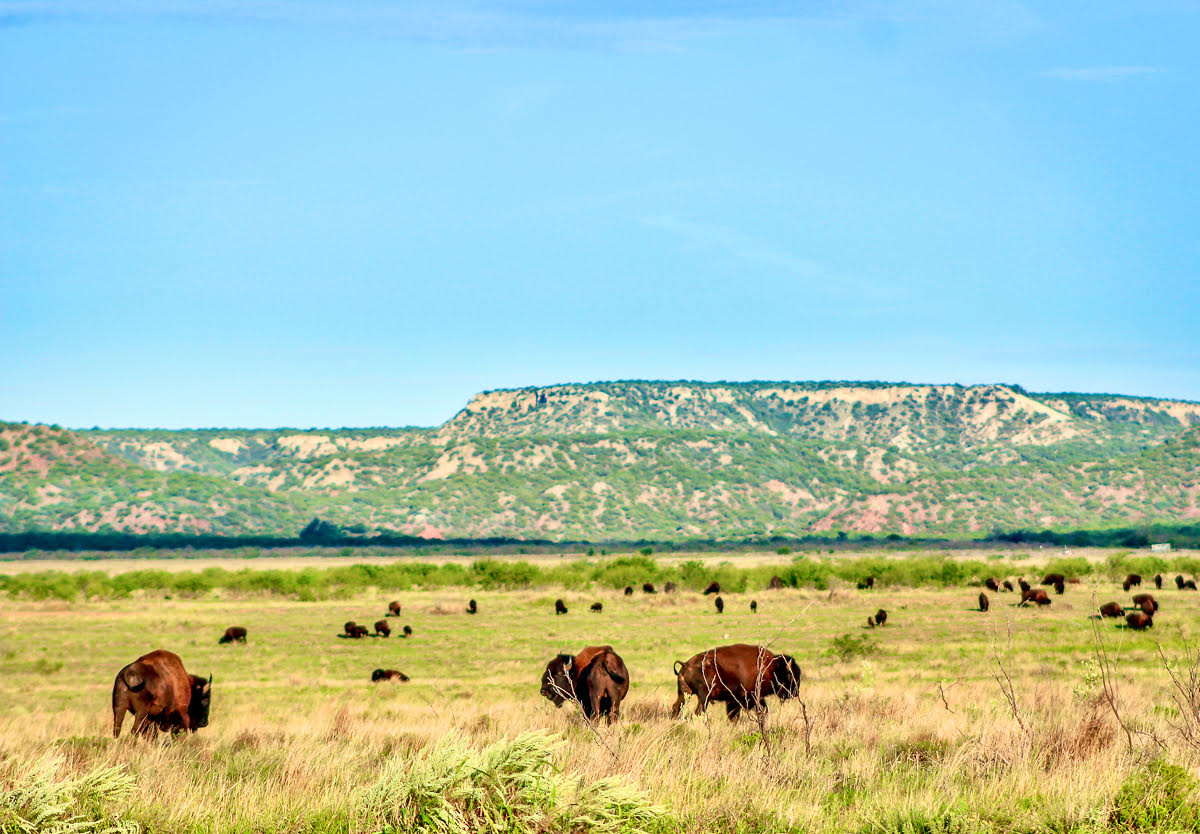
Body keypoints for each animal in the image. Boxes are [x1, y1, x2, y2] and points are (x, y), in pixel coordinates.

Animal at [670, 644, 802, 721]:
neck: (771, 667)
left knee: (676, 707)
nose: (795, 693)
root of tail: (686, 664)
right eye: (790, 675)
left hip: (684, 693)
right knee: (698, 711)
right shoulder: (747, 697)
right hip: (704, 697)